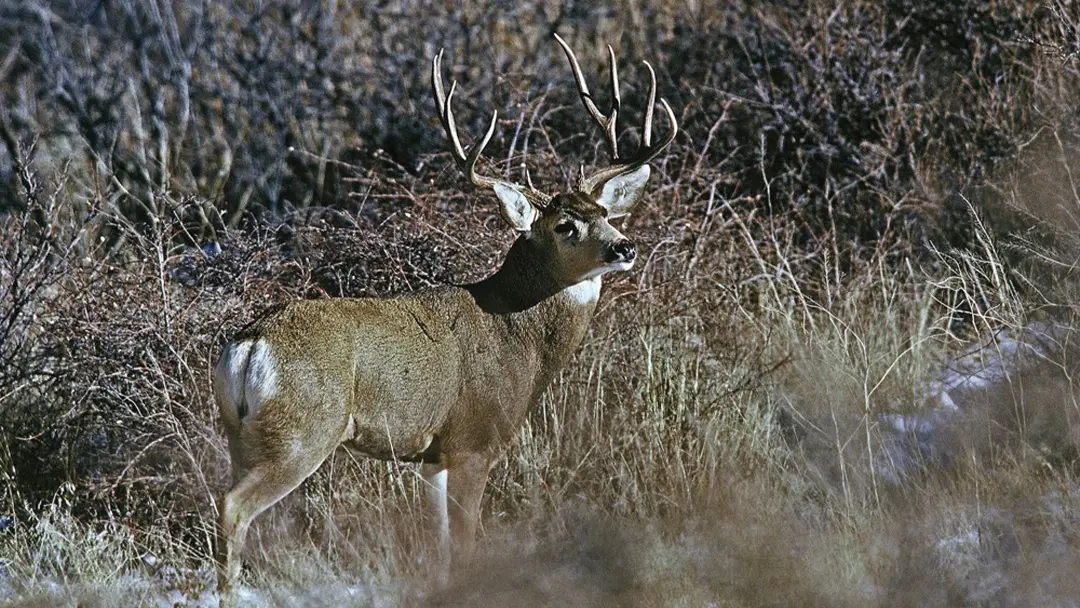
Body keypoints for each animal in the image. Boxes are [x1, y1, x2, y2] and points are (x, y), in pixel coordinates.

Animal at [212, 32, 673, 591]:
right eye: (566, 226)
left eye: (605, 212)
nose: (624, 247)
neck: (514, 332)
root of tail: (250, 344)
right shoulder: (473, 440)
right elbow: (467, 543)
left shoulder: (432, 457)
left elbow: (440, 545)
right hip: (304, 430)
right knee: (234, 506)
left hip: (241, 435)